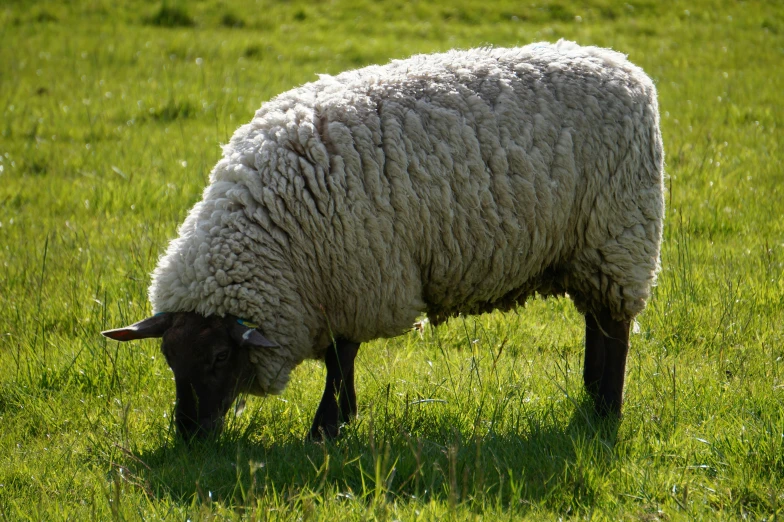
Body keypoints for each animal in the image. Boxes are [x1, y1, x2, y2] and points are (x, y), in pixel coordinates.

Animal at [102, 40, 668, 436]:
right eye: (168, 358)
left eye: (219, 358)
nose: (188, 437)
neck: (273, 229)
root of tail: (627, 69)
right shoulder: (336, 284)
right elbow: (340, 360)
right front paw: (340, 420)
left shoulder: (355, 278)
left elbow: (339, 358)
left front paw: (327, 427)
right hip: (592, 247)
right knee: (597, 325)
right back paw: (591, 401)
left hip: (618, 234)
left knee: (613, 330)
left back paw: (605, 411)